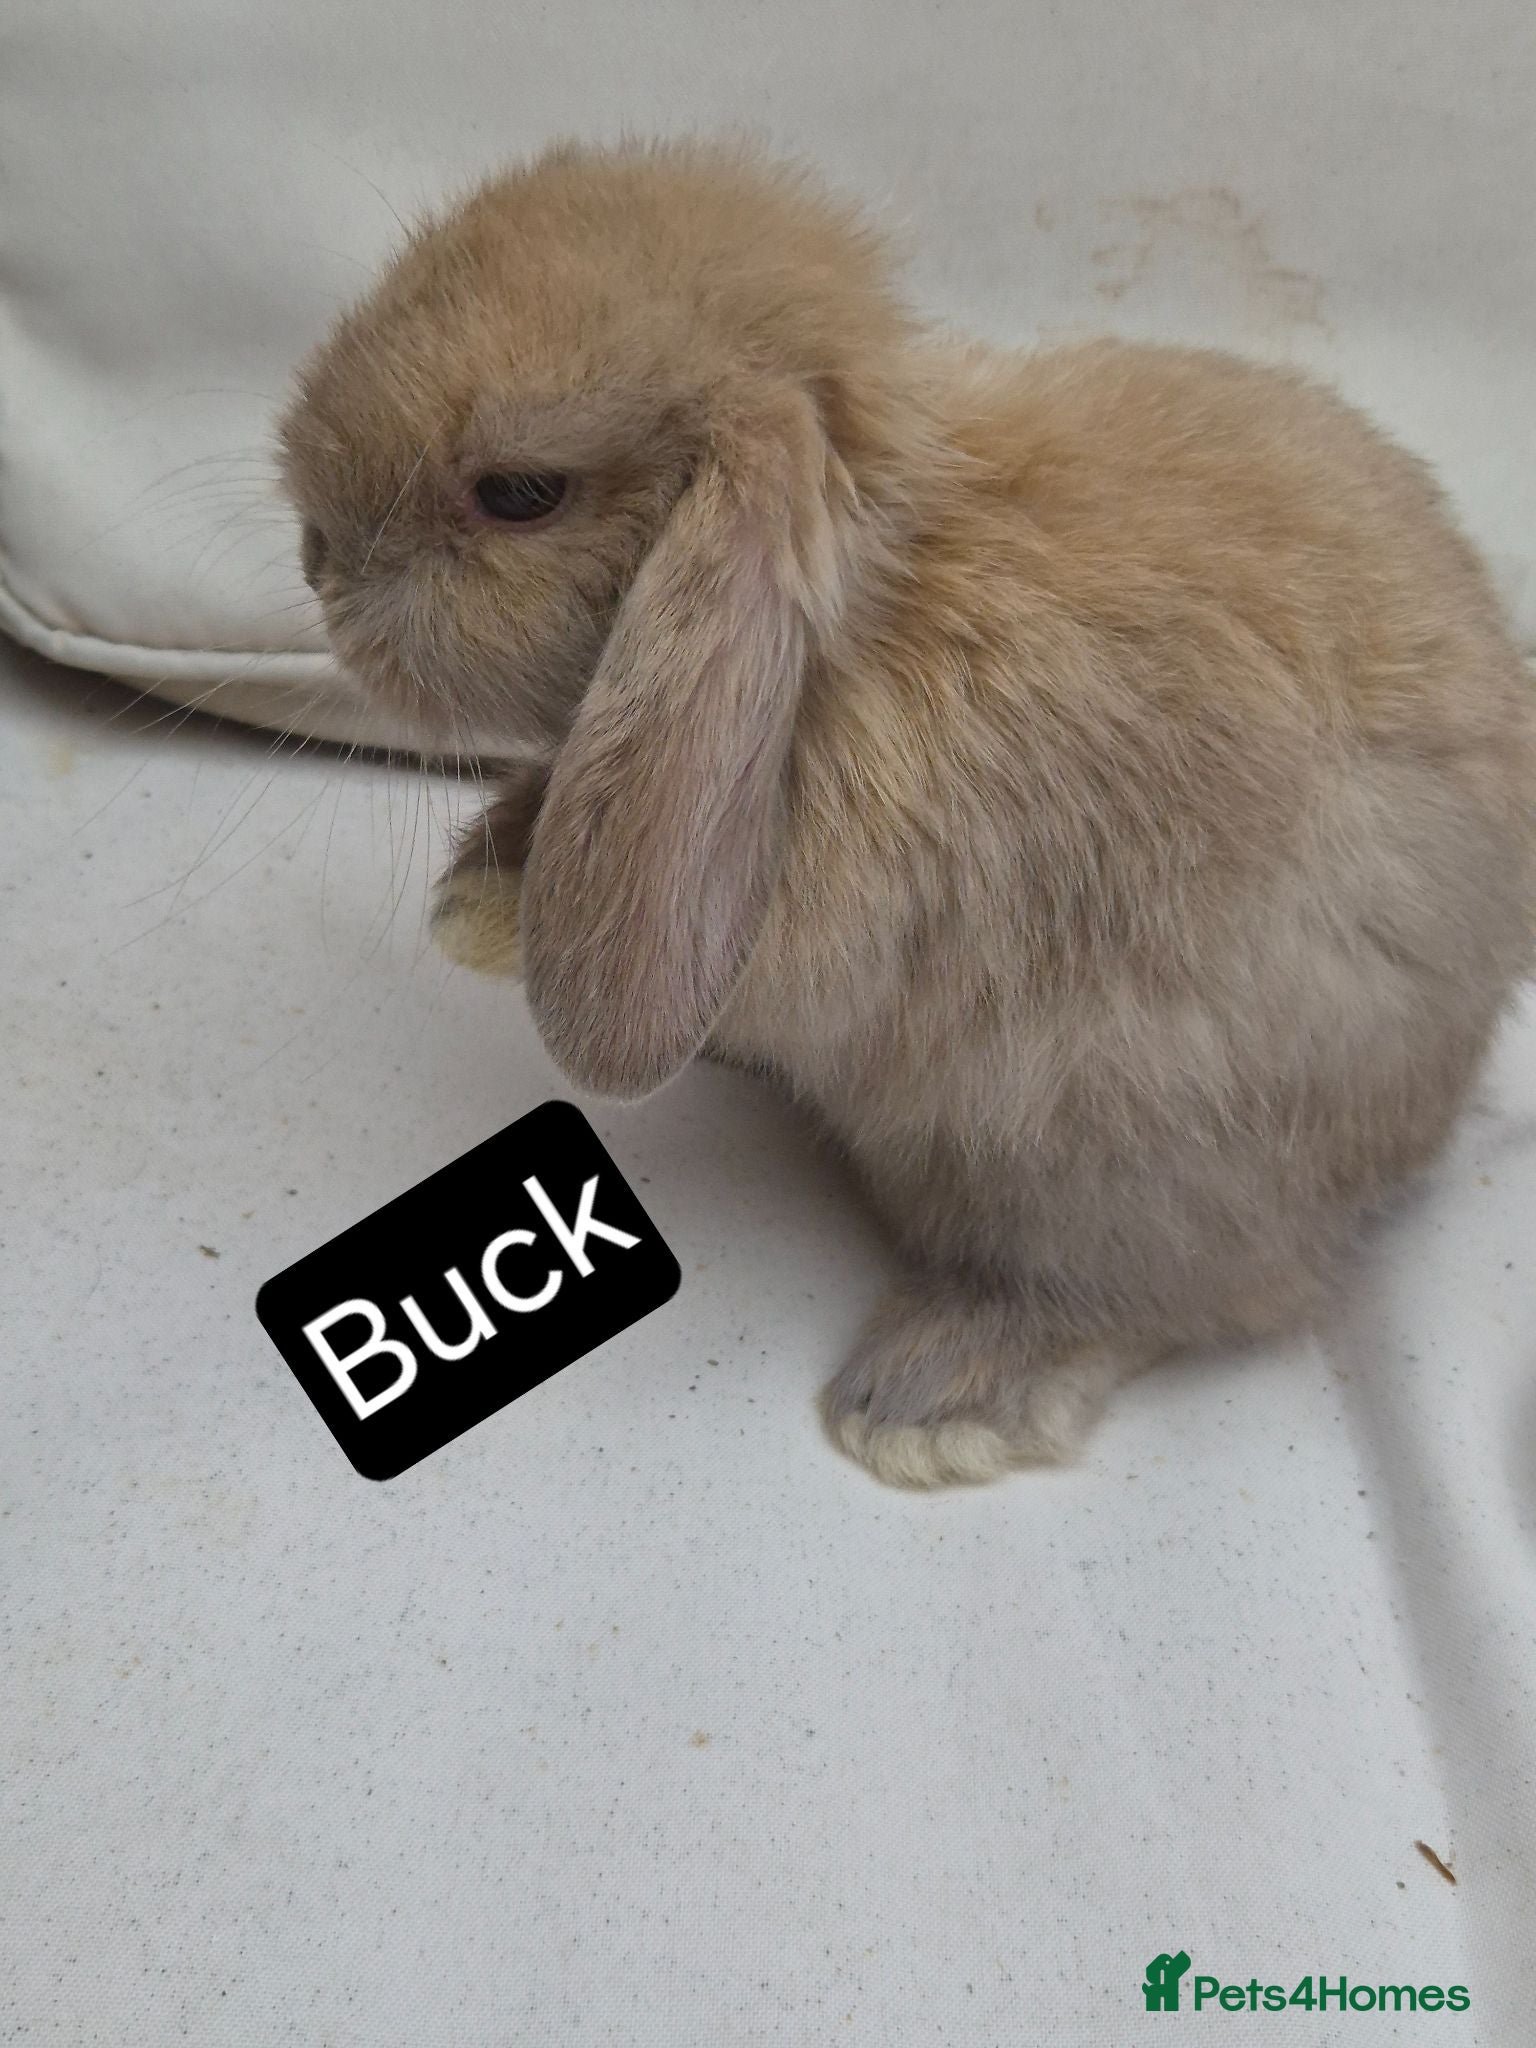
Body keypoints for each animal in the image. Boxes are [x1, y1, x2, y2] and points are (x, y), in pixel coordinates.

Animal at [277, 137, 1536, 1488]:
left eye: (518, 492)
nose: (316, 558)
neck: (852, 630)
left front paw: (489, 921)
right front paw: (474, 886)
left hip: (1120, 1156)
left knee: (1177, 1294)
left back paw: (933, 1398)